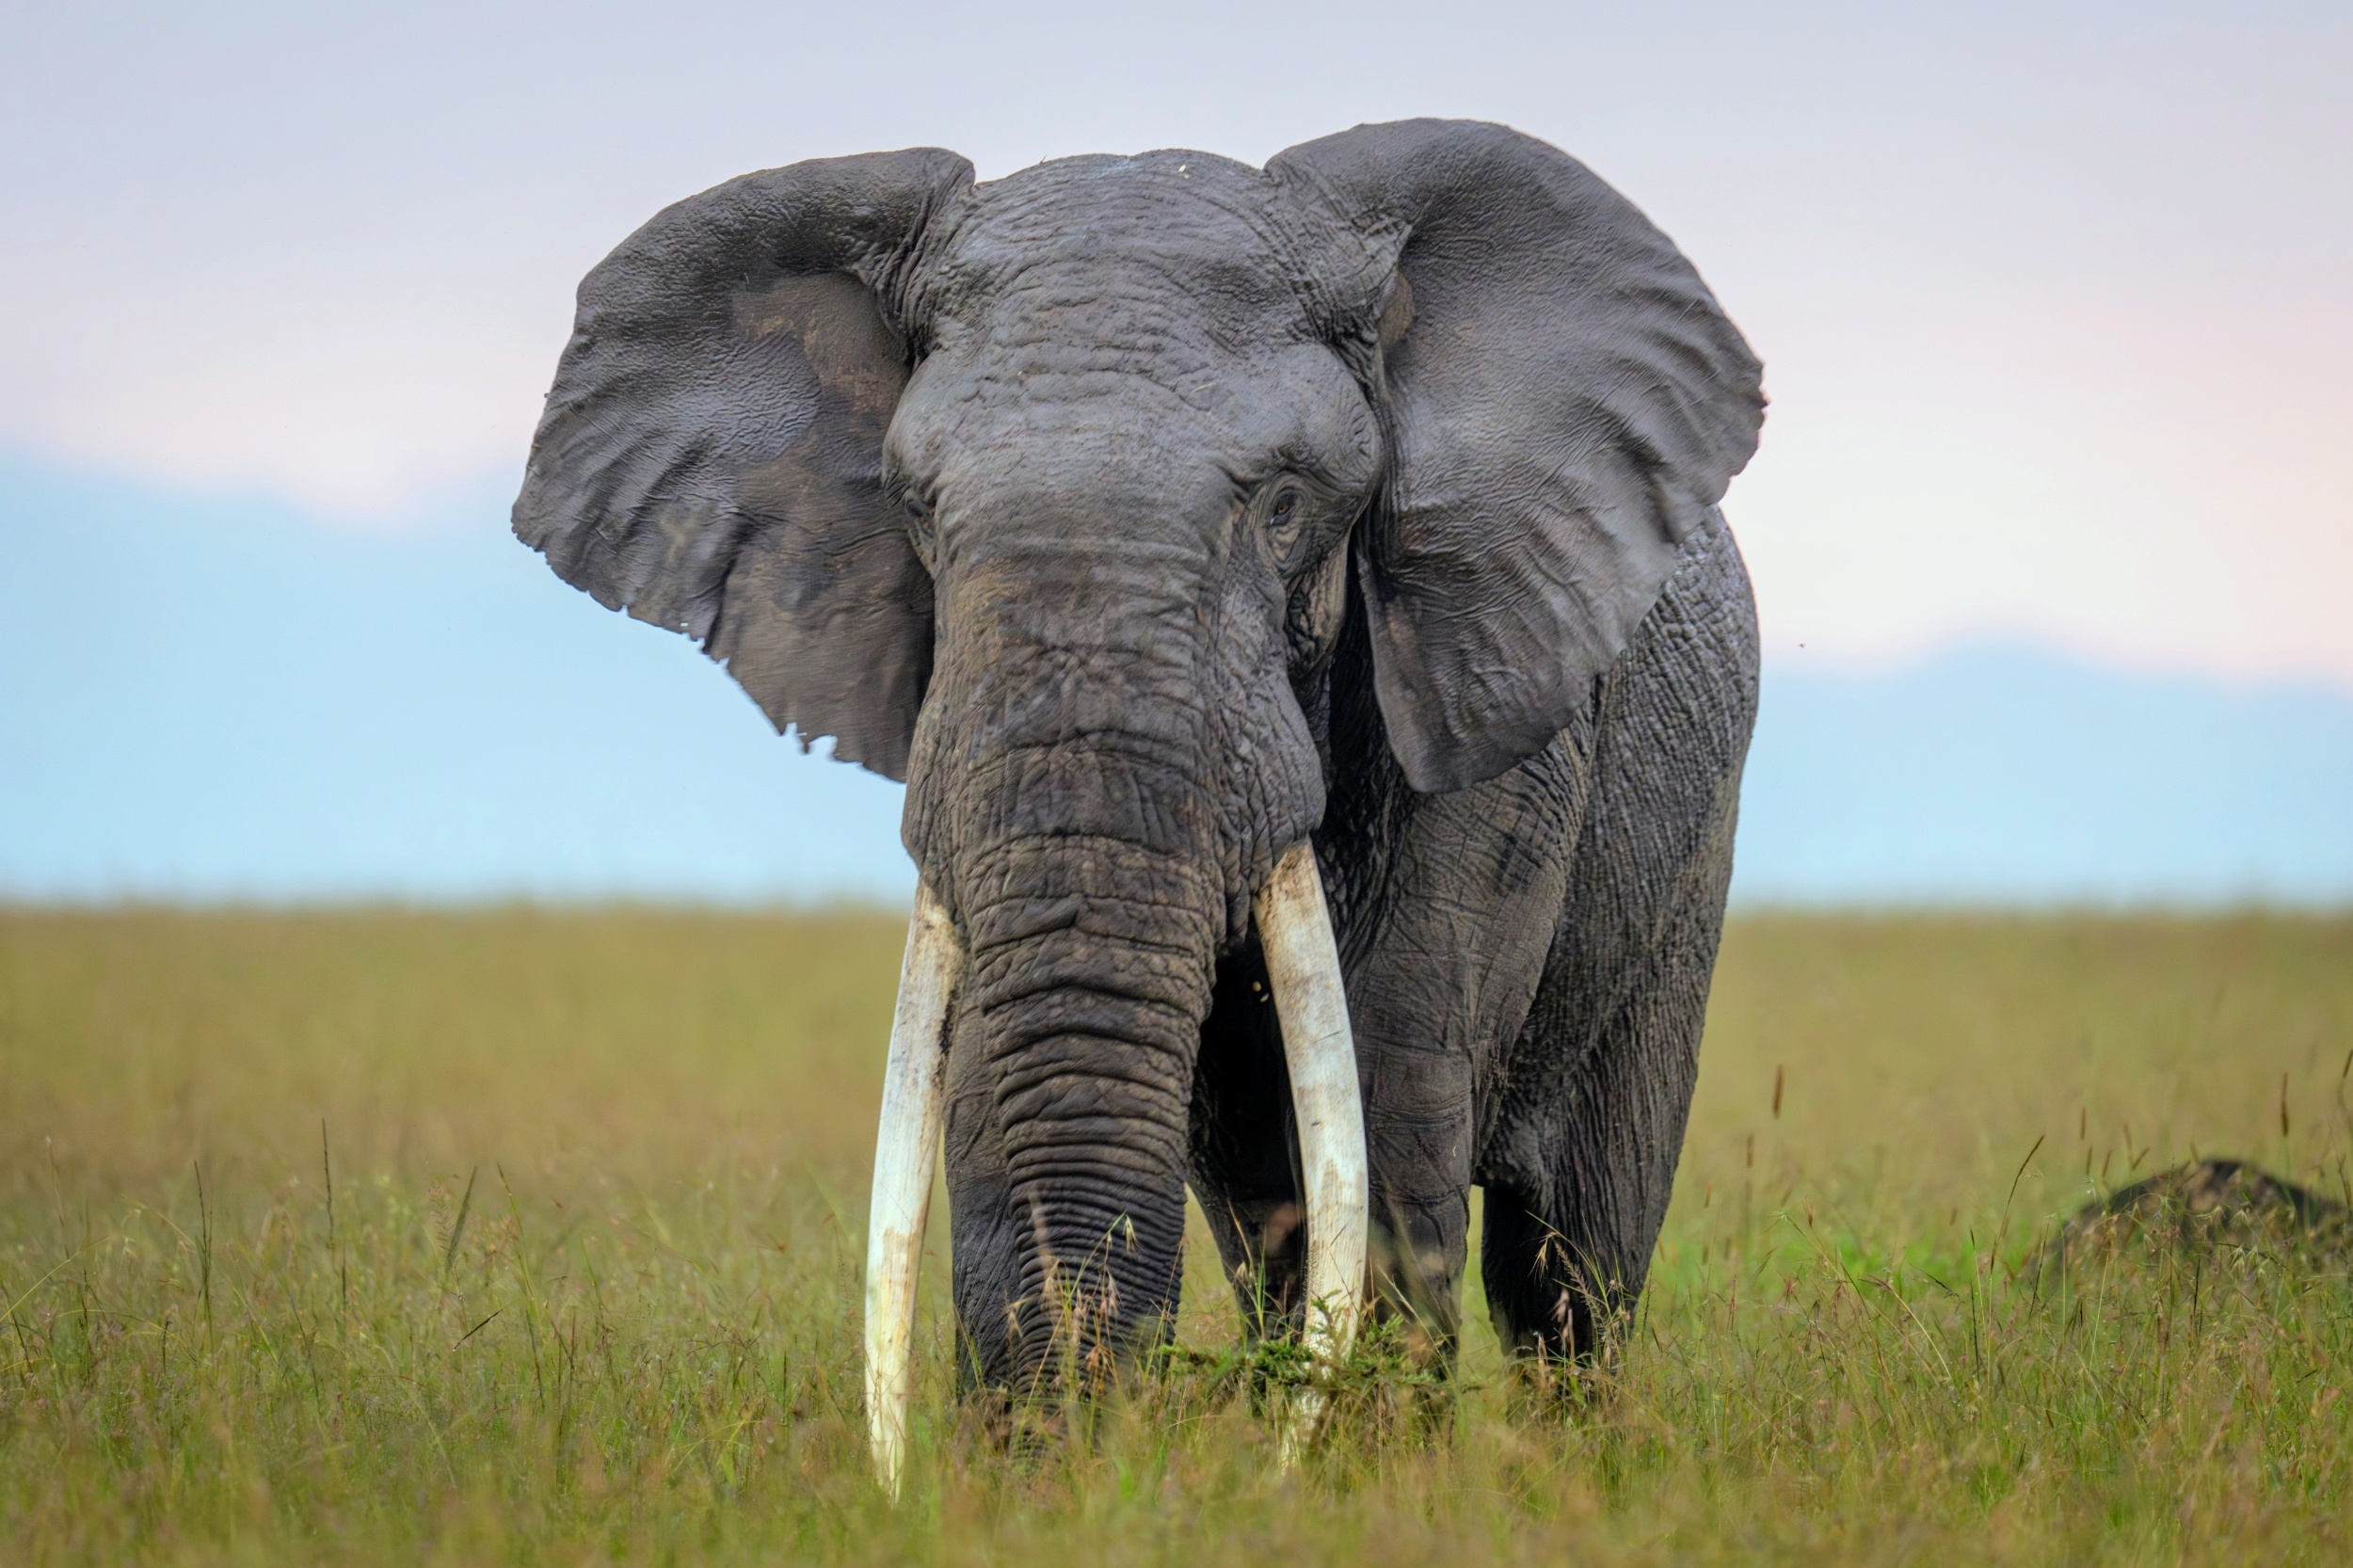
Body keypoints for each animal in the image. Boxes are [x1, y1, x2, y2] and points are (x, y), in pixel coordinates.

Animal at [513, 118, 1763, 1478]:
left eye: (1286, 506)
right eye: (917, 512)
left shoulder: (1487, 699)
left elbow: (1390, 1075)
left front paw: (1353, 1478)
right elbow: (1002, 1058)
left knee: (1573, 1253)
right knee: (1268, 1204)